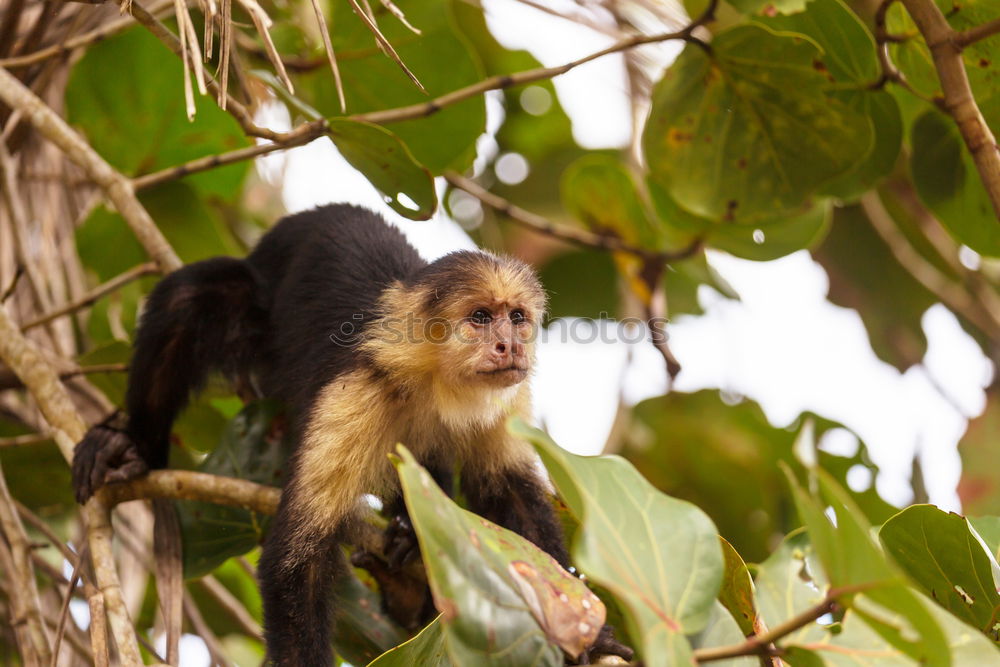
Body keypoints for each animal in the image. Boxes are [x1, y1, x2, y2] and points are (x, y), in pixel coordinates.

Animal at [70, 205, 632, 667]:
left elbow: (514, 507)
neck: (432, 381)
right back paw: (134, 446)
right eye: (480, 317)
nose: (509, 345)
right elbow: (299, 556)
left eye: (516, 317)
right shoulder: (354, 392)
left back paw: (406, 570)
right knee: (195, 296)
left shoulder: (505, 402)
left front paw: (584, 632)